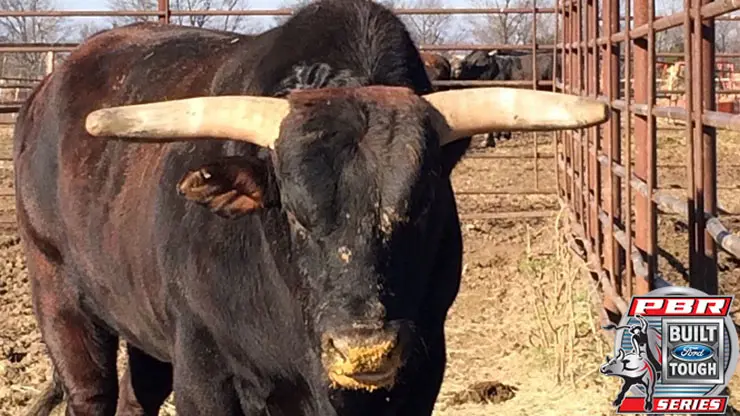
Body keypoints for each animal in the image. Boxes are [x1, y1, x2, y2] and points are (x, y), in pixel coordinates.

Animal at [14, 0, 607, 415]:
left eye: (418, 208)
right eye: (294, 214)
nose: (364, 352)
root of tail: (48, 86)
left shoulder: (421, 370)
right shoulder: (204, 373)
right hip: (59, 298)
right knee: (90, 393)